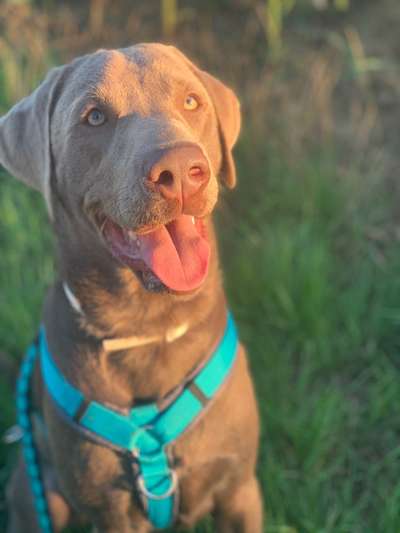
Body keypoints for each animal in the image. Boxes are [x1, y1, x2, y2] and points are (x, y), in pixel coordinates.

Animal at [0, 42, 262, 532]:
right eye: (94, 117)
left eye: (191, 101)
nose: (179, 170)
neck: (149, 327)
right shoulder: (114, 512)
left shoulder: (239, 489)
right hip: (36, 493)